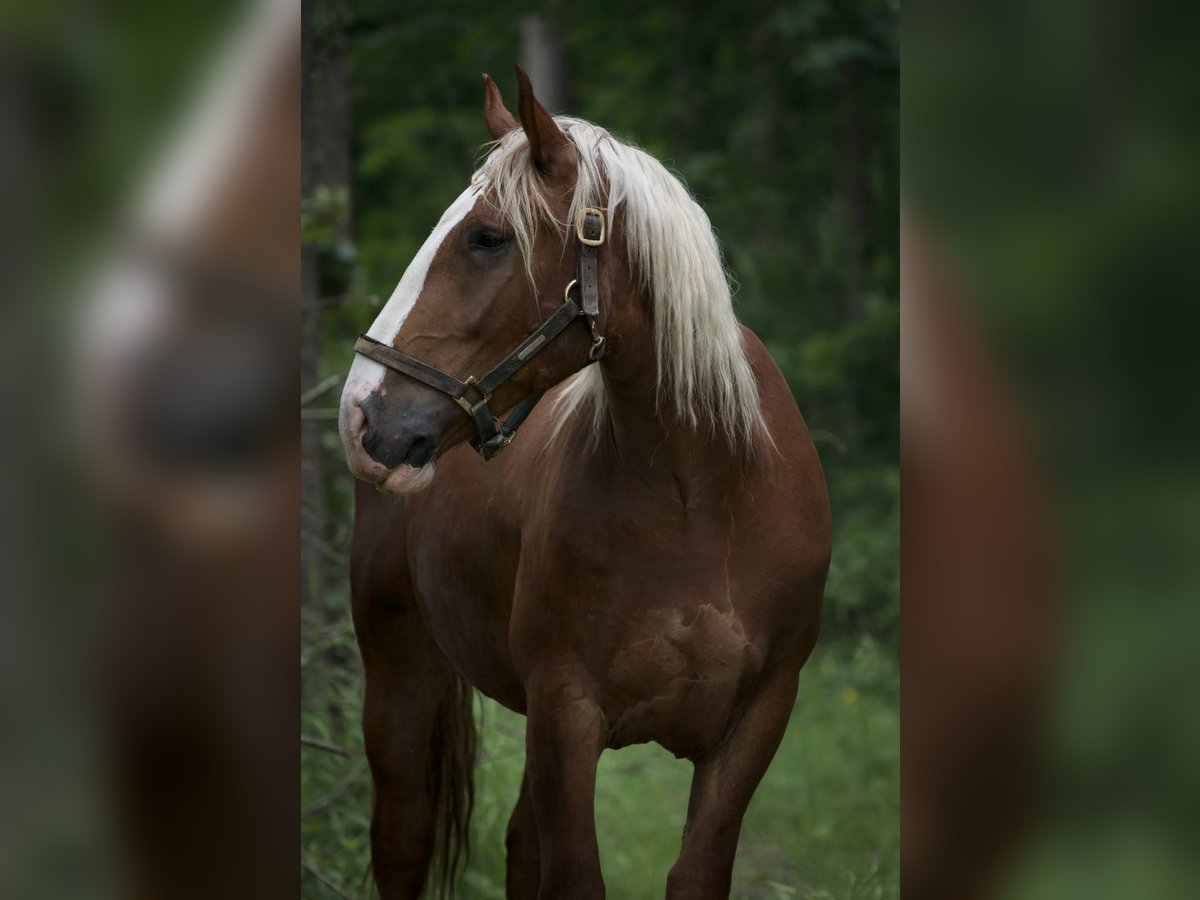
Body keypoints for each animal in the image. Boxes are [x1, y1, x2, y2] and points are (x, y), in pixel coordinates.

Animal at [339, 66, 831, 900]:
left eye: (487, 237)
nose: (360, 413)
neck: (702, 498)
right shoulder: (566, 714)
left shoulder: (756, 722)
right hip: (399, 677)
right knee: (403, 841)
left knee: (517, 844)